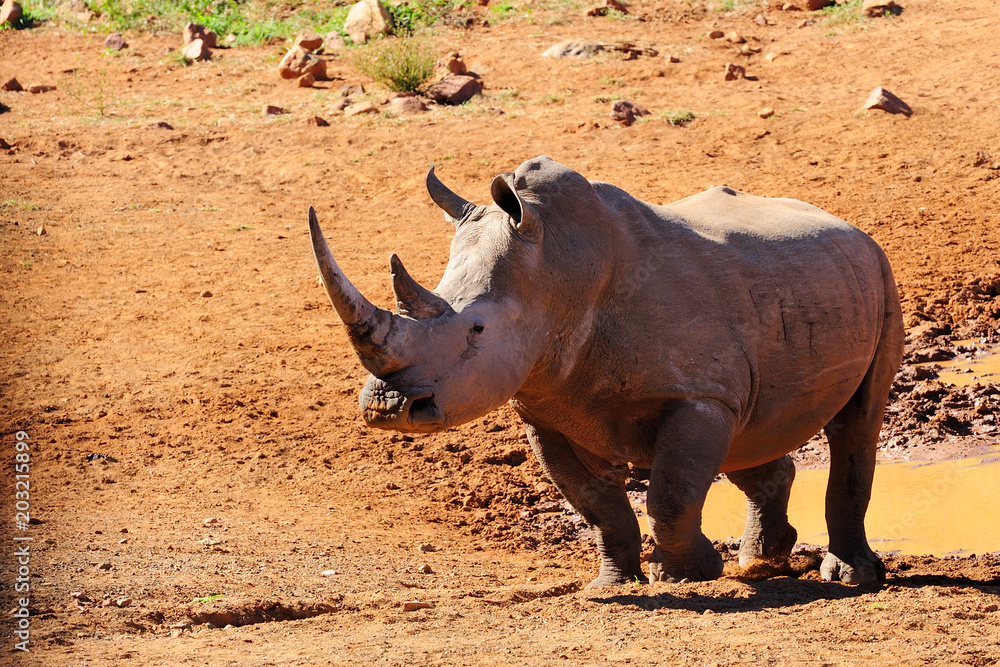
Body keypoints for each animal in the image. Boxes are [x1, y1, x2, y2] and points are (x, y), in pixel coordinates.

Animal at [308, 156, 903, 587]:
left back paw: (851, 576)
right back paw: (761, 560)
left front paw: (684, 575)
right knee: (752, 431)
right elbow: (597, 505)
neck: (557, 274)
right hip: (797, 289)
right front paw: (613, 584)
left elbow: (671, 493)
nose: (387, 408)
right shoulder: (545, 408)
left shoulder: (697, 395)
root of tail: (847, 223)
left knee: (856, 423)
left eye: (476, 330)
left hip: (878, 272)